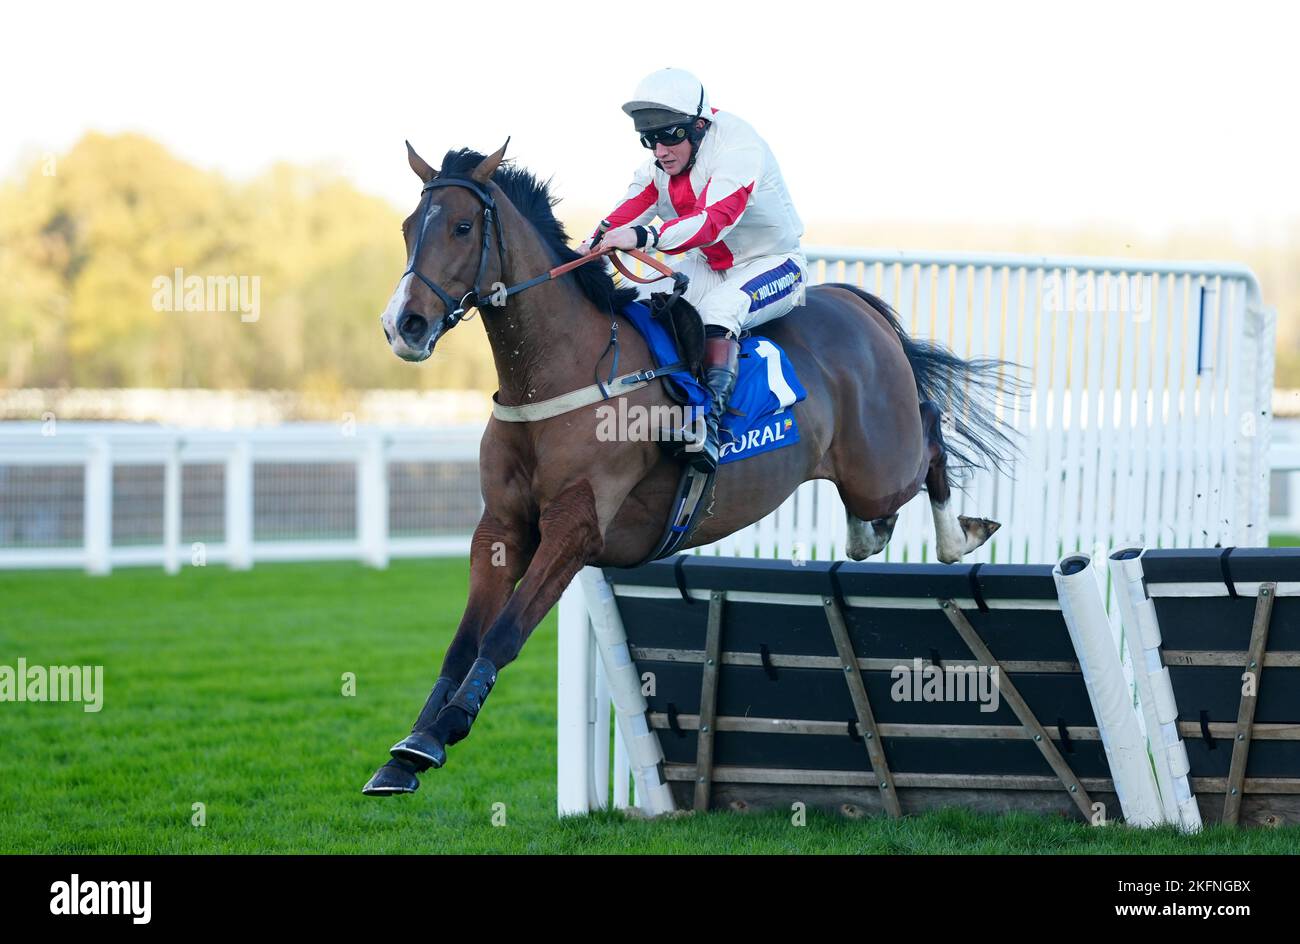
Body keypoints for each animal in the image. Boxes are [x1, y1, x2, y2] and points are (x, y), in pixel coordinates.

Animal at [366, 140, 1013, 800]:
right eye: (409, 227)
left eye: (462, 227)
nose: (404, 325)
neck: (559, 374)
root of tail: (854, 302)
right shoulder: (500, 528)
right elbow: (463, 642)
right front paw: (410, 749)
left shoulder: (575, 528)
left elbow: (502, 633)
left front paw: (443, 732)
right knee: (882, 505)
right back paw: (872, 535)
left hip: (881, 464)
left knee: (929, 432)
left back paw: (959, 537)